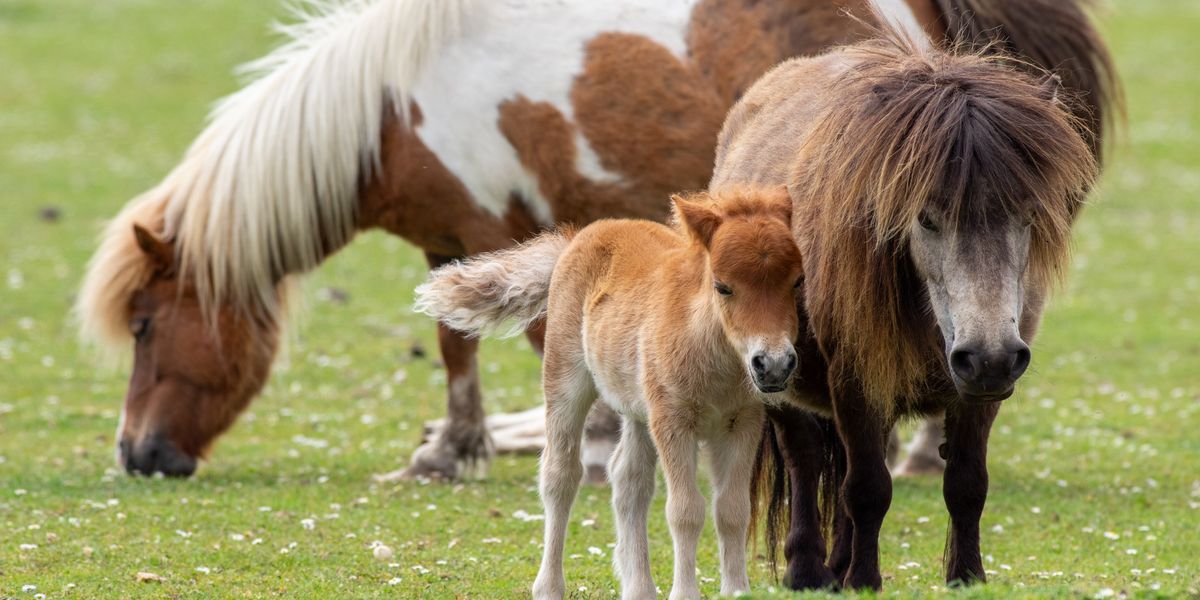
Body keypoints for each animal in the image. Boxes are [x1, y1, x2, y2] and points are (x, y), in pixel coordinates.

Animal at [76, 0, 1118, 479]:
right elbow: (463, 342)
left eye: (144, 326)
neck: (391, 107)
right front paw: (463, 441)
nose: (139, 454)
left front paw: (503, 445)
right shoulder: (458, 240)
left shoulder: (495, 223)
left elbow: (504, 341)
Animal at [414, 187, 804, 599]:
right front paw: (685, 592)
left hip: (637, 412)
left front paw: (737, 591)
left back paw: (639, 589)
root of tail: (579, 236)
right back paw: (549, 587)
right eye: (723, 286)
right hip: (566, 383)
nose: (773, 364)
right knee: (561, 475)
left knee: (628, 480)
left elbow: (732, 510)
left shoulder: (741, 424)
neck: (713, 354)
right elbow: (685, 511)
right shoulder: (673, 422)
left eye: (797, 282)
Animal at [710, 10, 1100, 590]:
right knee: (806, 459)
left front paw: (966, 577)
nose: (988, 357)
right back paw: (808, 570)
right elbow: (867, 487)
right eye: (926, 217)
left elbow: (966, 484)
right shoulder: (854, 382)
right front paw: (863, 582)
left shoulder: (980, 394)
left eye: (1028, 213)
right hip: (779, 379)